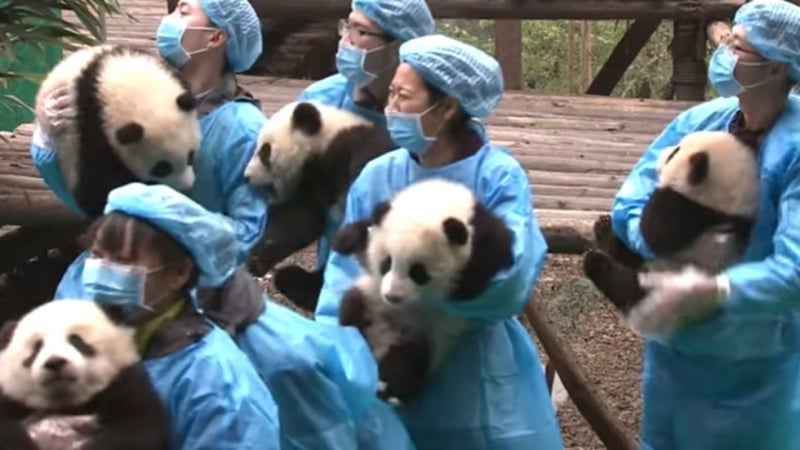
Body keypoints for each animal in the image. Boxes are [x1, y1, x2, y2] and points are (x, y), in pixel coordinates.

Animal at [0, 298, 169, 450]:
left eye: (76, 340)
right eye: (37, 347)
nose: (55, 362)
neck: (67, 403)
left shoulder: (127, 385)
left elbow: (134, 430)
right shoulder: (11, 399)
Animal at [242, 100, 396, 308]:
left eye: (264, 151)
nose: (246, 177)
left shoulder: (356, 148)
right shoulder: (311, 184)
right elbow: (298, 222)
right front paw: (254, 261)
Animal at [330, 177, 512, 404]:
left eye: (418, 272)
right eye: (386, 263)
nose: (392, 296)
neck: (435, 201)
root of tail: (382, 338)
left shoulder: (482, 230)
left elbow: (496, 254)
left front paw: (465, 285)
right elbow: (366, 232)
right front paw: (345, 239)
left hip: (426, 340)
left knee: (409, 362)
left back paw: (393, 388)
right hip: (370, 298)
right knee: (352, 308)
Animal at [580, 130, 756, 330]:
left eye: (674, 153)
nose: (661, 152)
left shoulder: (689, 210)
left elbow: (654, 232)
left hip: (668, 288)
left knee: (625, 285)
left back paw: (598, 261)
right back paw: (604, 230)